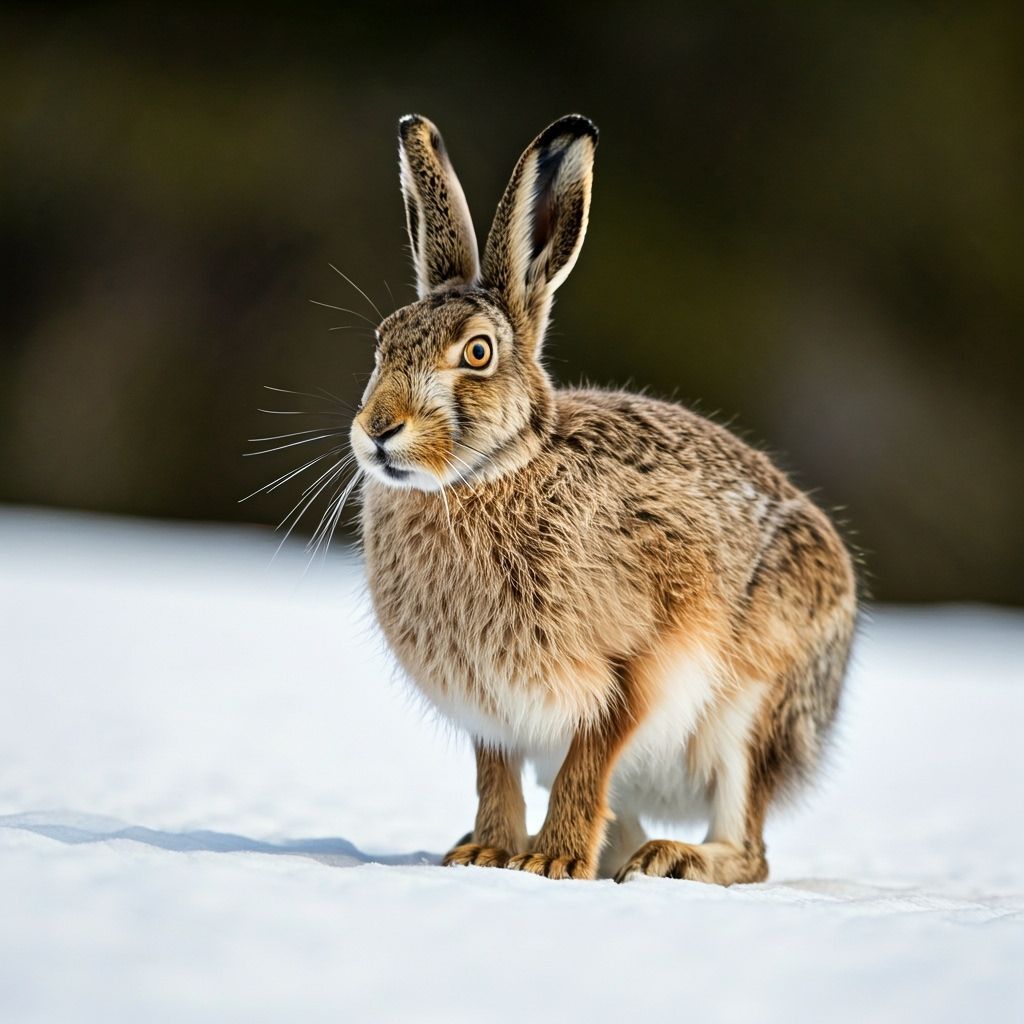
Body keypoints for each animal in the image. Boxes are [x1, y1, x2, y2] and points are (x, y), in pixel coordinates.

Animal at [349, 113, 857, 883]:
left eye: (477, 353)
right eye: (382, 343)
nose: (379, 430)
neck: (491, 476)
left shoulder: (633, 670)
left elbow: (588, 765)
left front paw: (553, 863)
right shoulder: (490, 714)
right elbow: (495, 778)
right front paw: (485, 855)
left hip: (750, 712)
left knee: (748, 849)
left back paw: (670, 858)